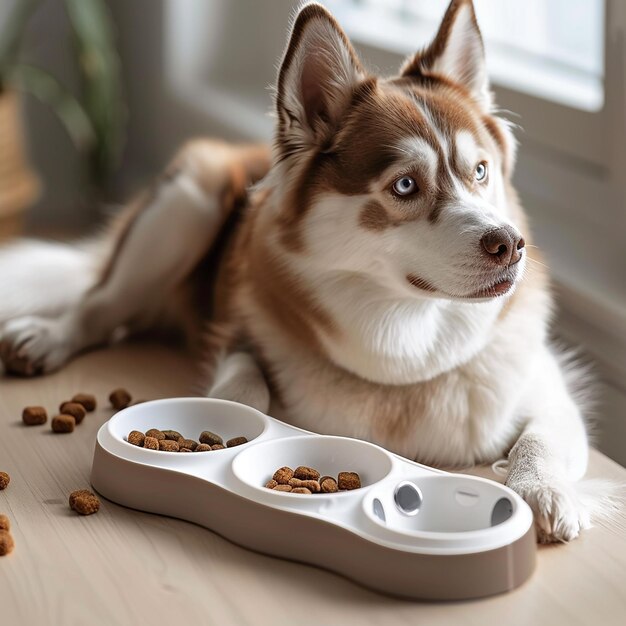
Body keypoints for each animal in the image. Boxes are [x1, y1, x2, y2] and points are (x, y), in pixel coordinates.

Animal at [0, 0, 616, 540]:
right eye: (405, 185)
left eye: (481, 171)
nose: (510, 245)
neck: (407, 349)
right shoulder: (239, 332)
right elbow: (242, 387)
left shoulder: (549, 387)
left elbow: (541, 437)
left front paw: (542, 489)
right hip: (187, 201)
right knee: (101, 304)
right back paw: (48, 336)